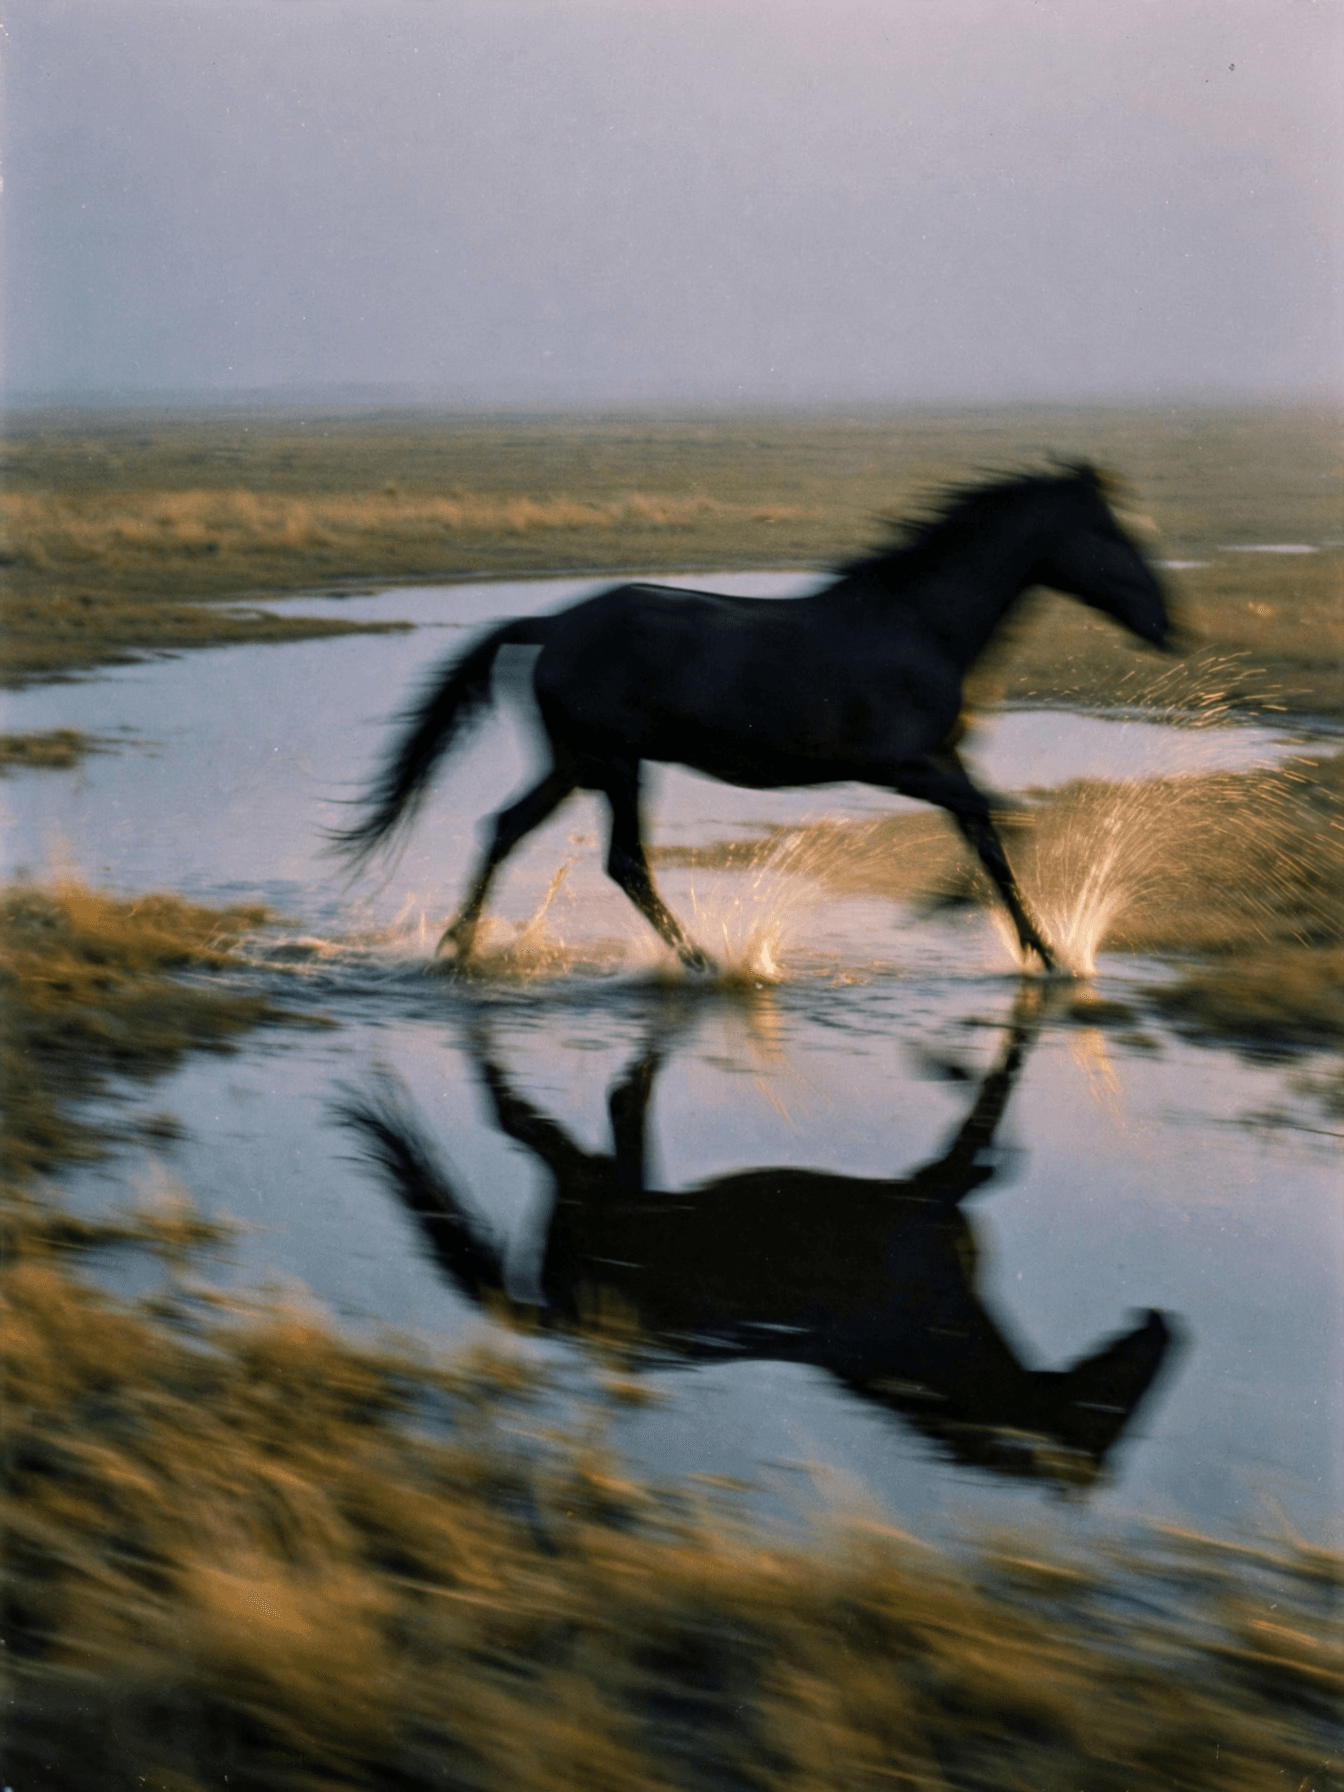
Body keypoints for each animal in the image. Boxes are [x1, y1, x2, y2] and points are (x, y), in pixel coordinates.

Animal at [333, 464, 1172, 971]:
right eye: (1112, 534)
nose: (1169, 625)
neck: (919, 626)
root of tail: (553, 625)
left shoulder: (944, 761)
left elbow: (992, 835)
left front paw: (1047, 956)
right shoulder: (902, 769)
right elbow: (1005, 820)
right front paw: (946, 910)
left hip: (576, 765)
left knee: (506, 828)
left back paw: (457, 947)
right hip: (618, 766)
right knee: (624, 862)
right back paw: (703, 962)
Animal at [335, 994, 1179, 1485]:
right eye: (1112, 1415)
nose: (1163, 1325)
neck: (924, 1334)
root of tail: (554, 1310)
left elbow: (997, 1136)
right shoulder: (933, 1192)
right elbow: (989, 1113)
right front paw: (949, 1056)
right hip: (583, 1179)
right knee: (523, 1119)